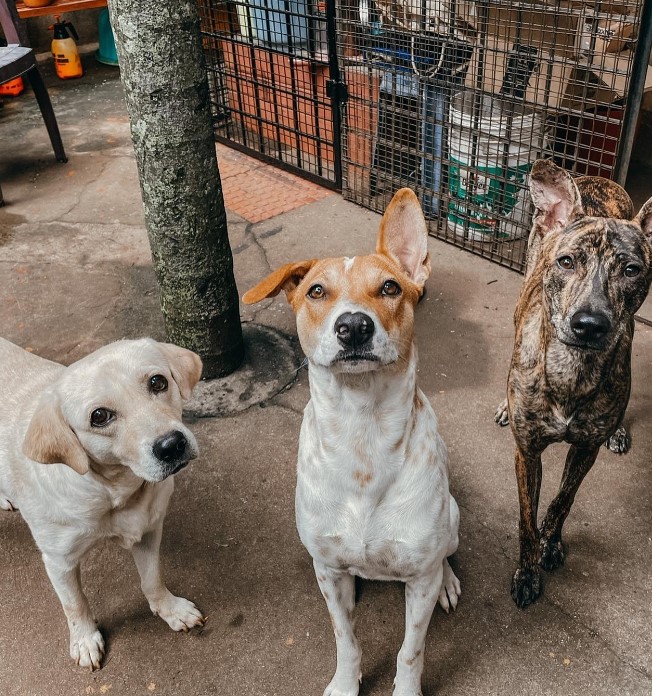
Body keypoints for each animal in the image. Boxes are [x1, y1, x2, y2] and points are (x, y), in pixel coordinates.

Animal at [0, 338, 204, 668]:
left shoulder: (148, 532)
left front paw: (170, 609)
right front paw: (84, 640)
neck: (114, 493)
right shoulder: (59, 561)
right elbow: (75, 604)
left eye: (158, 382)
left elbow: (152, 580)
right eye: (99, 416)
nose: (172, 445)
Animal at [242, 189, 460, 696]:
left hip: (453, 519)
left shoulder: (418, 580)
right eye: (317, 291)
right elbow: (346, 639)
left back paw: (449, 580)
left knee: (447, 554)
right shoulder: (327, 572)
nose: (354, 326)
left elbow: (410, 651)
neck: (364, 436)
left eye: (390, 288)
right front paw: (346, 683)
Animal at [496, 160, 648, 608]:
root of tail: (594, 177)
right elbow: (526, 520)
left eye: (631, 270)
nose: (590, 324)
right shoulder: (527, 453)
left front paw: (552, 541)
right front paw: (527, 572)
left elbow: (564, 500)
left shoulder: (585, 450)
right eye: (566, 262)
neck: (571, 371)